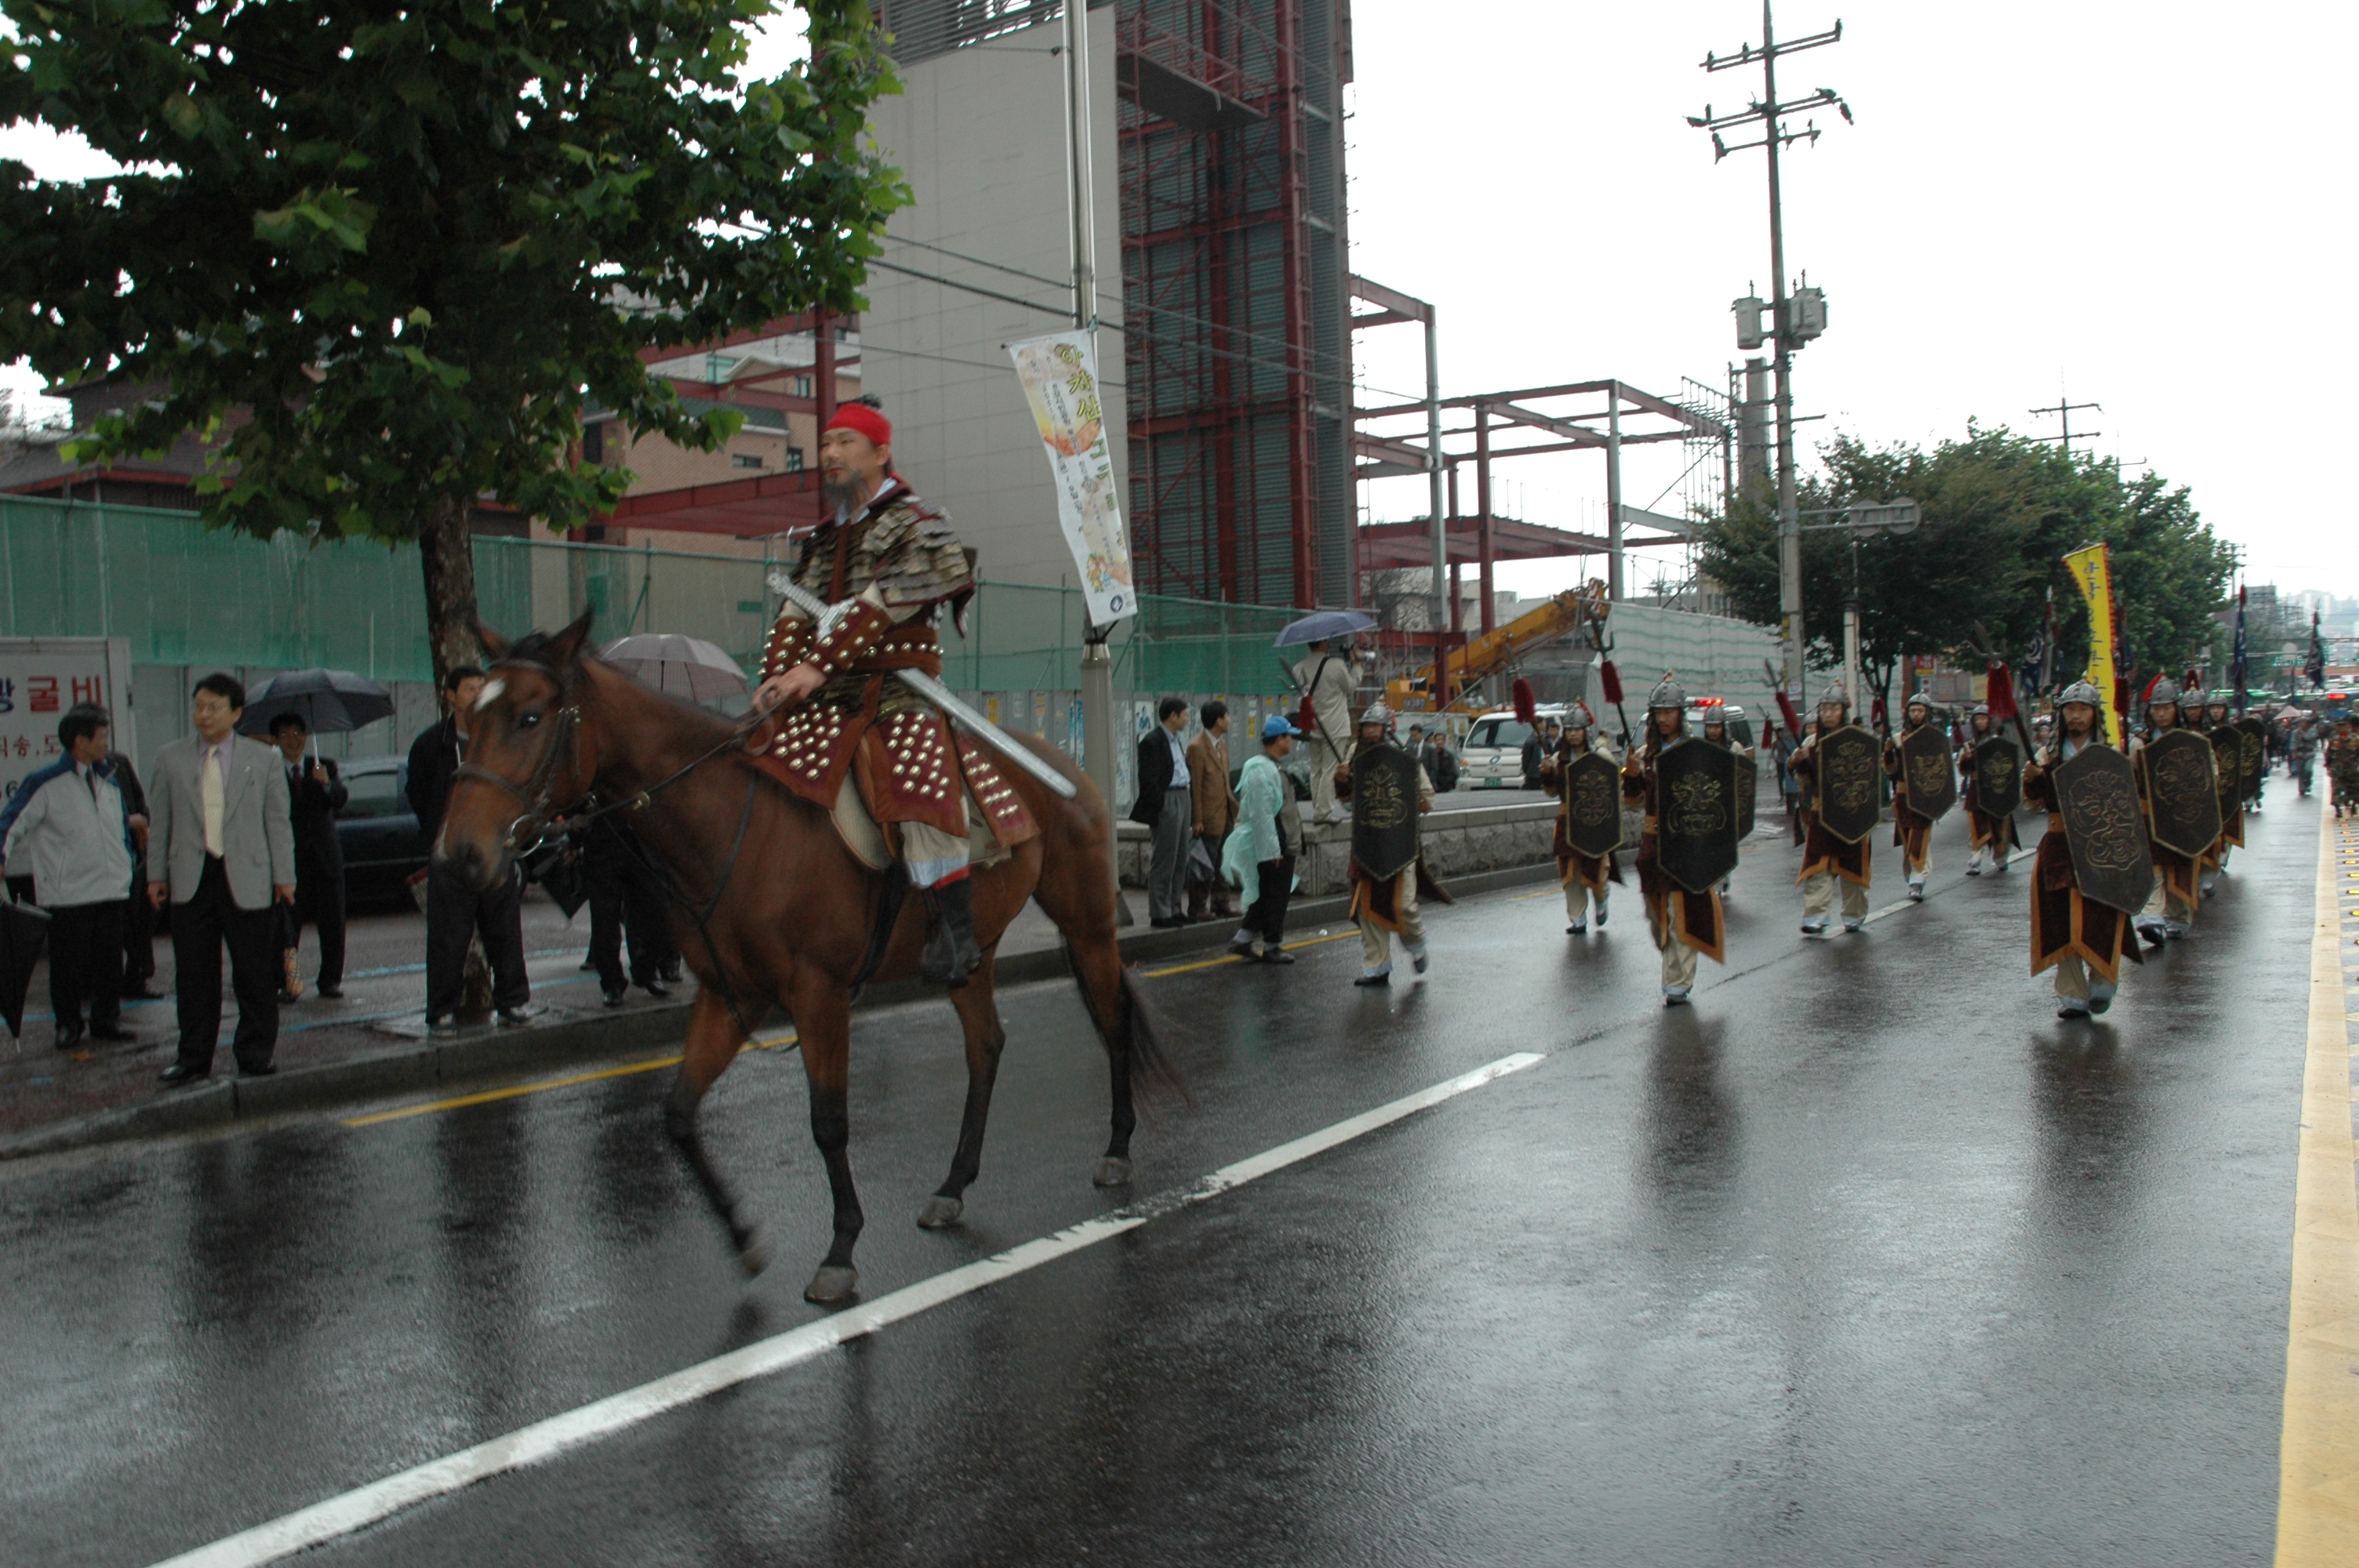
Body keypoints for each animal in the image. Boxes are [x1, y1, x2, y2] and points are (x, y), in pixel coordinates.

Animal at [434, 617, 1169, 1301]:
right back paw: (954, 1184)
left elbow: (829, 1121)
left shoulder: (818, 994)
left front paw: (840, 1250)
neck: (736, 823)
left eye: (530, 717)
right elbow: (678, 1114)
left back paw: (1117, 1149)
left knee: (1111, 1022)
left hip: (1086, 923)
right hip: (975, 950)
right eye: (471, 719)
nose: (459, 853)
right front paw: (742, 1235)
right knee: (986, 1046)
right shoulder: (729, 996)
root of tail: (1066, 769)